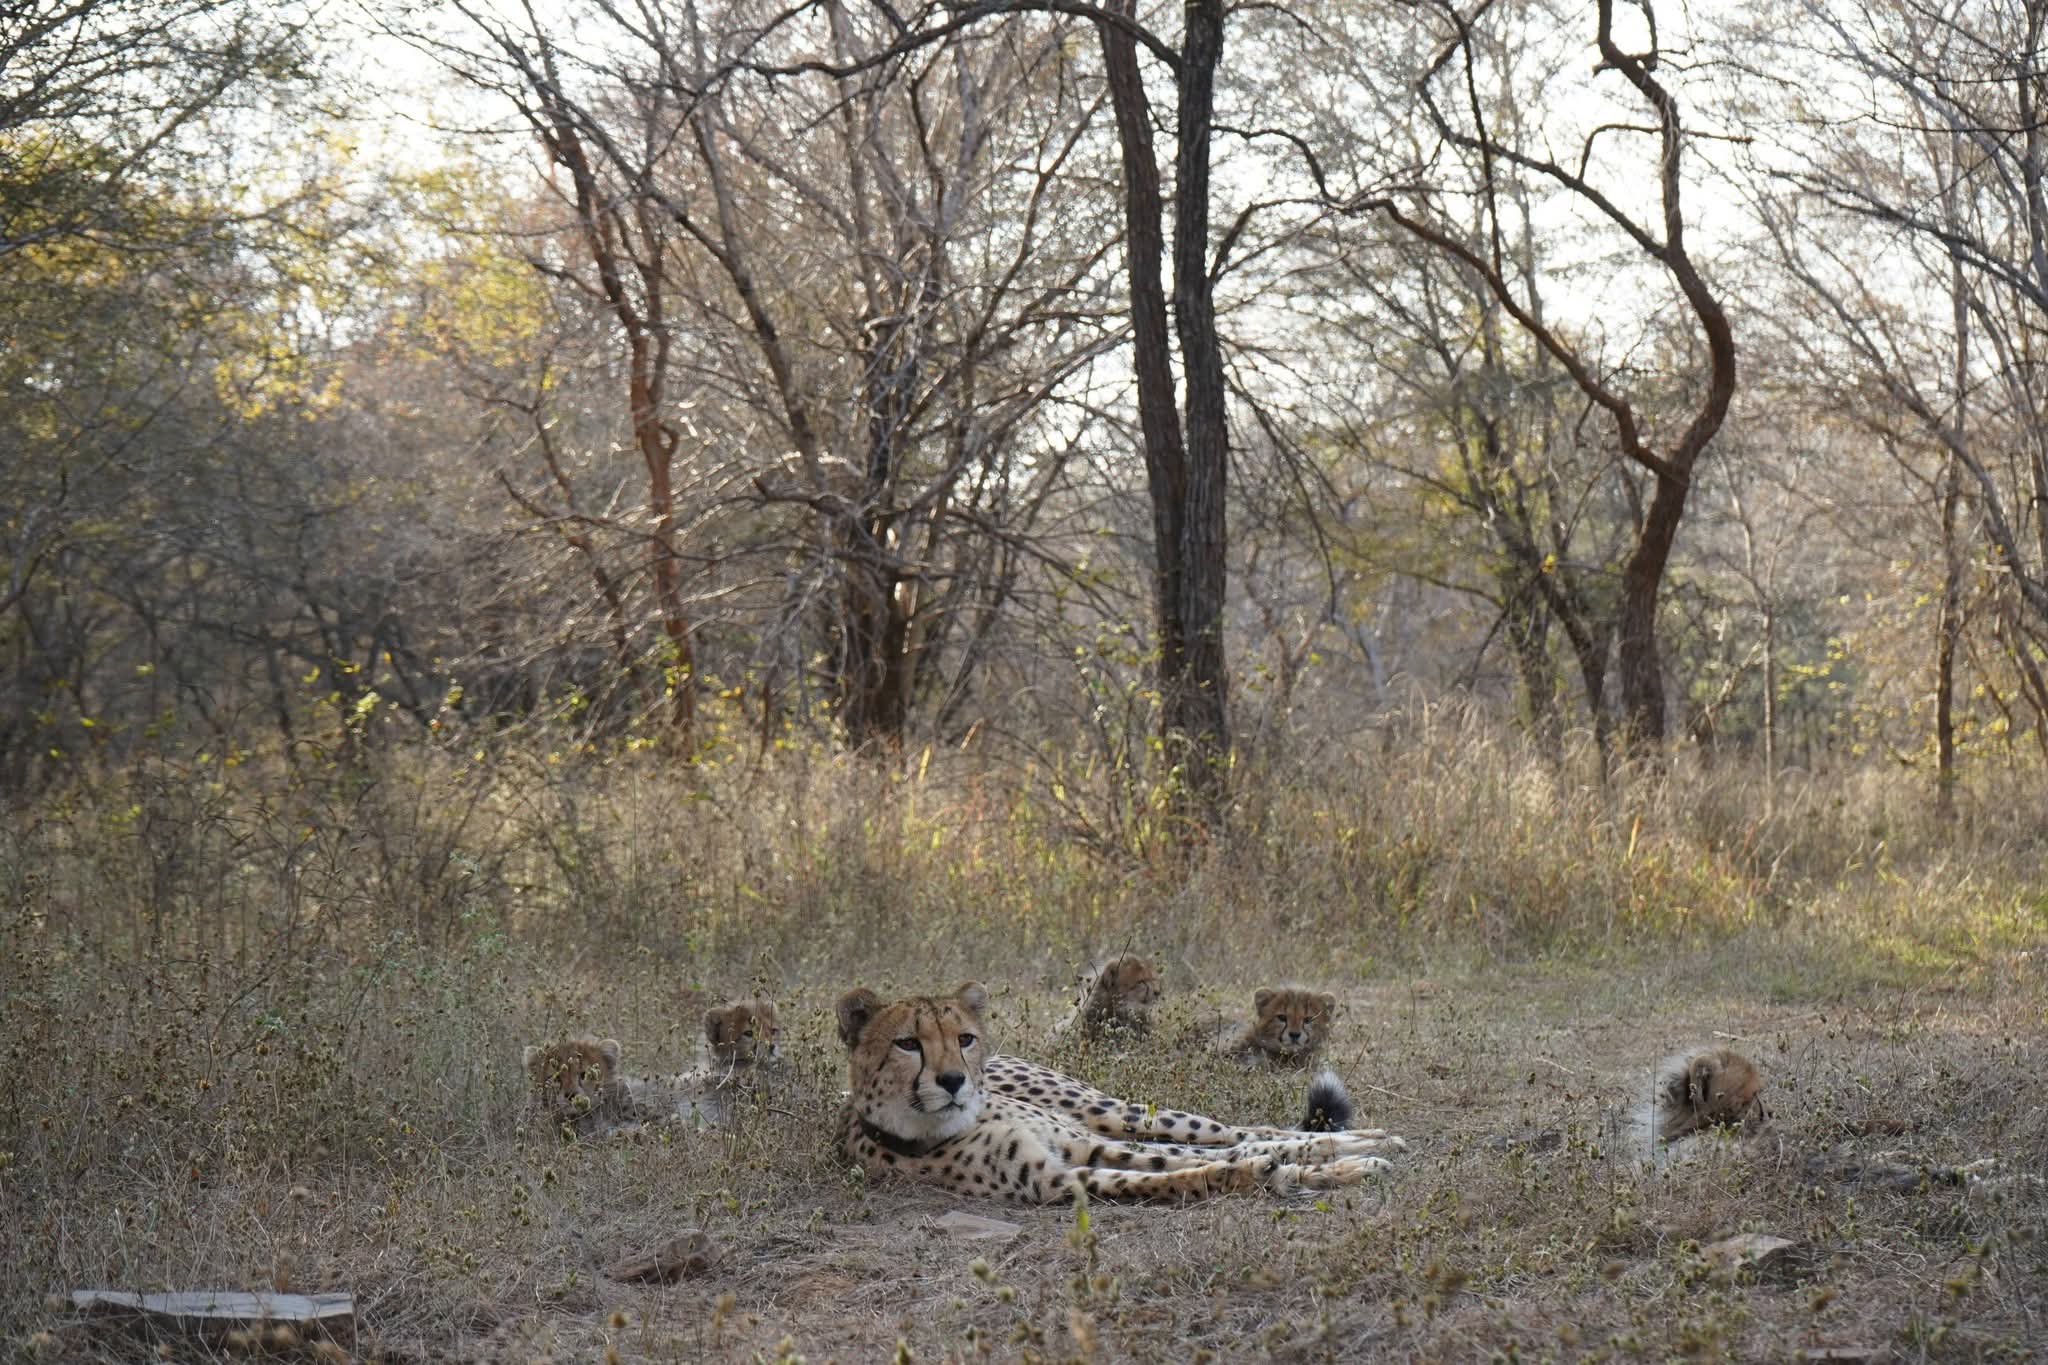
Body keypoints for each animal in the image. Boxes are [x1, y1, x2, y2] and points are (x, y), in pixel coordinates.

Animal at [834, 981, 1404, 1205]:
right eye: (908, 1043)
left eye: (964, 1039)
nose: (954, 1080)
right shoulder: (1063, 1176)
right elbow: (1177, 1175)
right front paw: (1266, 1175)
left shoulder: (1085, 1142)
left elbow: (1203, 1156)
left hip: (1116, 1112)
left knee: (1242, 1130)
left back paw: (1374, 1140)